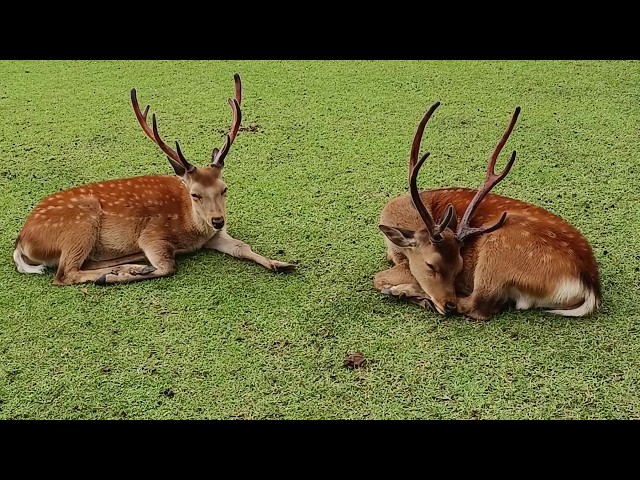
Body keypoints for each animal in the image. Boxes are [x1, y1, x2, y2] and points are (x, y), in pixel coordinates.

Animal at [13, 73, 297, 285]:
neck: (191, 227)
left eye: (225, 189)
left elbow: (242, 247)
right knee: (64, 274)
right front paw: (136, 271)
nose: (218, 220)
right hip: (79, 224)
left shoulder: (215, 236)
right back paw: (117, 273)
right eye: (195, 194)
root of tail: (21, 241)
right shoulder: (152, 235)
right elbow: (167, 266)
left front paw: (282, 263)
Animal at [374, 101, 601, 321]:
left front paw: (397, 288)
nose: (448, 305)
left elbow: (378, 277)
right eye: (431, 265)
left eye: (459, 268)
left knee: (479, 306)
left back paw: (406, 293)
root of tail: (589, 288)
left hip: (496, 253)